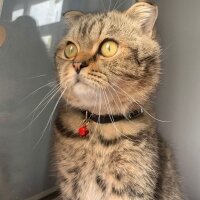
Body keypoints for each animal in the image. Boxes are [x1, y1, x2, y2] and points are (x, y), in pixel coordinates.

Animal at [52, 1, 183, 200]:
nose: (77, 64)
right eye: (70, 49)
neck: (99, 129)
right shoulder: (69, 186)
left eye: (108, 47)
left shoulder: (130, 189)